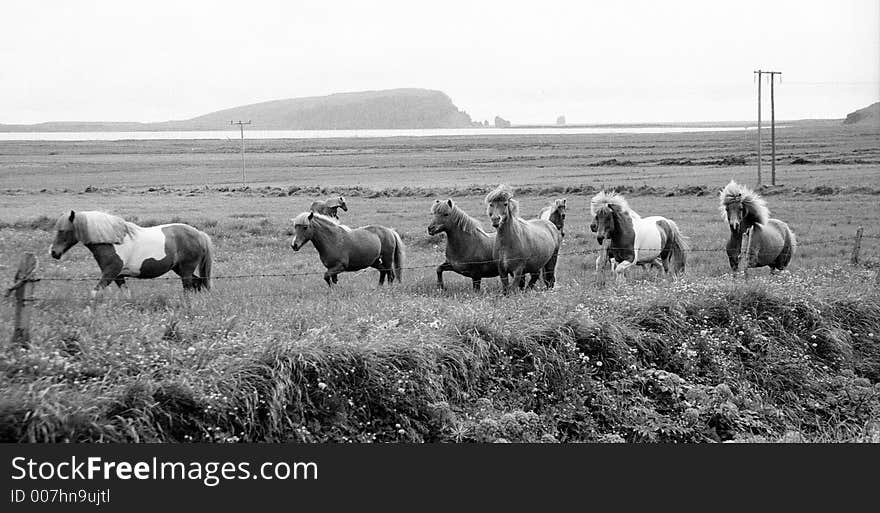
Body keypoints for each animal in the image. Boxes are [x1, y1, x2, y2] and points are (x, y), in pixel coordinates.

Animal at [49, 209, 213, 296]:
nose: (54, 252)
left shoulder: (110, 274)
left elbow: (95, 292)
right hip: (179, 269)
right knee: (198, 283)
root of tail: (199, 234)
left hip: (185, 269)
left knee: (189, 288)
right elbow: (126, 294)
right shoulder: (118, 276)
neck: (112, 241)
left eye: (63, 231)